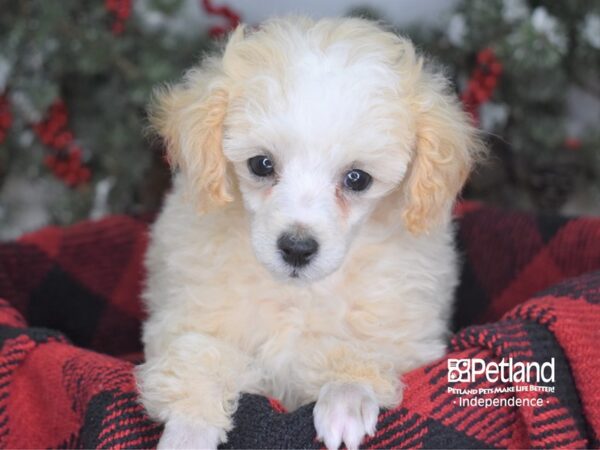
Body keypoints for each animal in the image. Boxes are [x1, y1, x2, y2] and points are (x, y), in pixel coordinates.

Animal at [136, 15, 482, 450]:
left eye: (357, 178)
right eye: (261, 164)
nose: (297, 249)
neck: (297, 294)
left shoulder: (405, 336)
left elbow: (358, 351)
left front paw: (346, 397)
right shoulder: (185, 317)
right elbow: (196, 356)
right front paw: (188, 430)